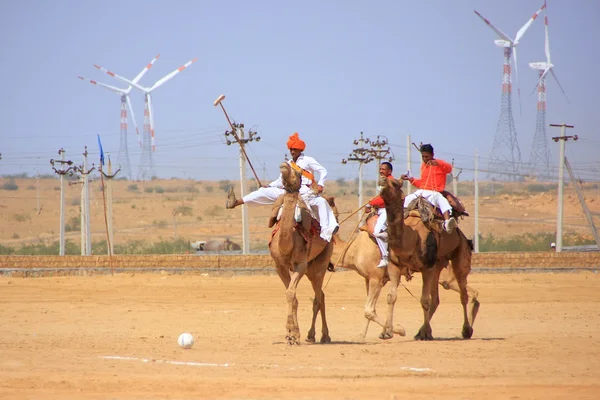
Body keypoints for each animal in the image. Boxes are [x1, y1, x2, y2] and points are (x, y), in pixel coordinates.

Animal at [270, 162, 336, 344]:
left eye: (299, 173)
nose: (283, 165)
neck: (286, 244)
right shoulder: (280, 267)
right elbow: (291, 296)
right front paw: (290, 334)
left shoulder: (300, 264)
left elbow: (291, 294)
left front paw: (294, 334)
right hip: (310, 269)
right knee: (321, 295)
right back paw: (314, 335)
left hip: (321, 261)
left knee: (318, 297)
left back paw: (321, 335)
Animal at [380, 178, 478, 340]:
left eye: (394, 182)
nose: (381, 180)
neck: (411, 237)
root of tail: (464, 237)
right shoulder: (394, 266)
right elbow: (391, 297)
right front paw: (386, 332)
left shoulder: (426, 267)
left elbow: (424, 300)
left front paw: (426, 334)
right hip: (437, 265)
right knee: (436, 299)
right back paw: (420, 331)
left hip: (460, 254)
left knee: (463, 293)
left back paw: (466, 330)